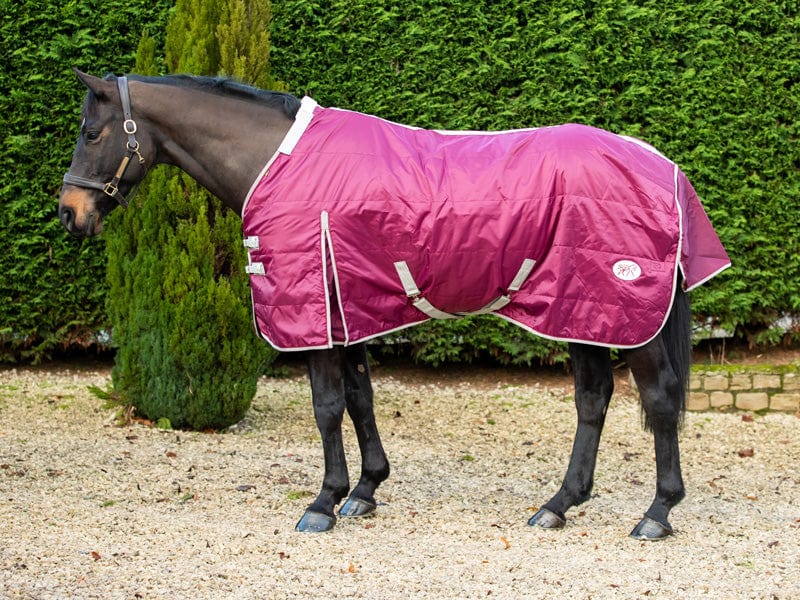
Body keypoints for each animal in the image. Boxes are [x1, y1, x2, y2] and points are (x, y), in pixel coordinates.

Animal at [58, 71, 730, 540]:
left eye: (91, 133)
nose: (70, 213)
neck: (277, 160)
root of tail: (661, 166)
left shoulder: (314, 311)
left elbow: (327, 408)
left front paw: (323, 503)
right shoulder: (347, 307)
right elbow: (360, 399)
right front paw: (365, 491)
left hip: (628, 316)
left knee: (660, 402)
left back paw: (656, 513)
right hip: (582, 311)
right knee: (593, 401)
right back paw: (558, 505)